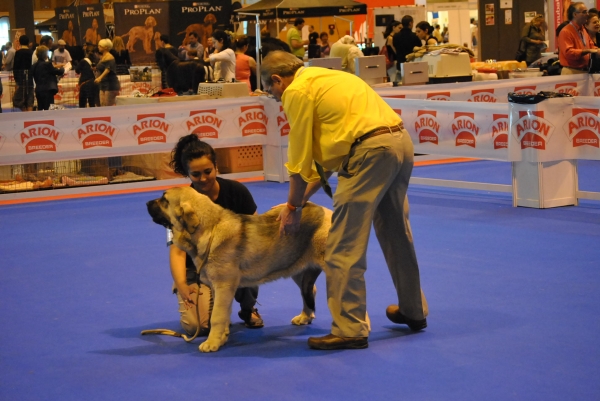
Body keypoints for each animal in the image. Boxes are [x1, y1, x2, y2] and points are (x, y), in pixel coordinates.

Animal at [147, 187, 330, 350]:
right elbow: (224, 314)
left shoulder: (223, 286)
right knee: (310, 290)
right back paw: (305, 317)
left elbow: (216, 316)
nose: (147, 203)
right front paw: (221, 338)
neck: (209, 229)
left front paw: (211, 343)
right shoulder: (220, 289)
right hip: (296, 269)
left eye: (164, 200)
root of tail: (326, 211)